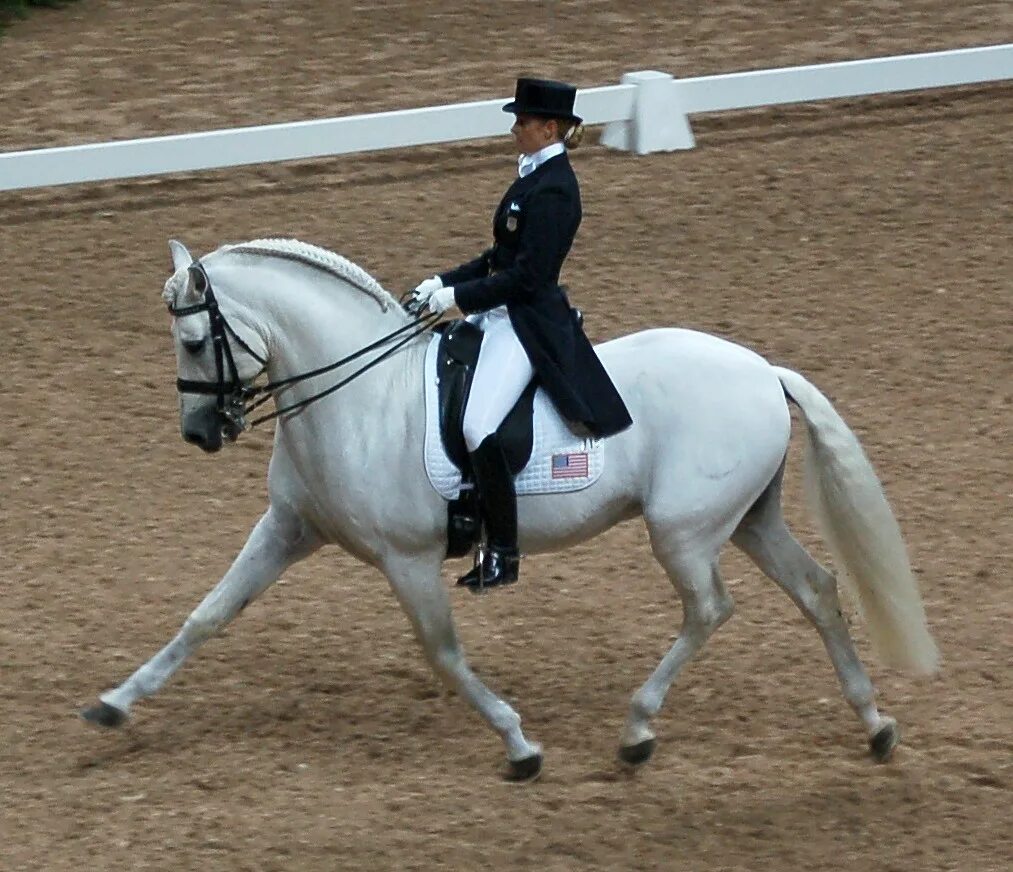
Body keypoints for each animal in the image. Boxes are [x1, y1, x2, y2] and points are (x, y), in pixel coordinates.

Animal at [81, 235, 940, 773]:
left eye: (195, 342)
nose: (199, 433)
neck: (361, 397)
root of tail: (763, 369)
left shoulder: (407, 560)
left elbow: (443, 651)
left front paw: (518, 746)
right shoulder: (289, 529)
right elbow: (206, 615)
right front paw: (114, 705)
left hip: (684, 531)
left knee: (708, 610)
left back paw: (636, 731)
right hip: (746, 520)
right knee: (816, 590)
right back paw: (874, 726)